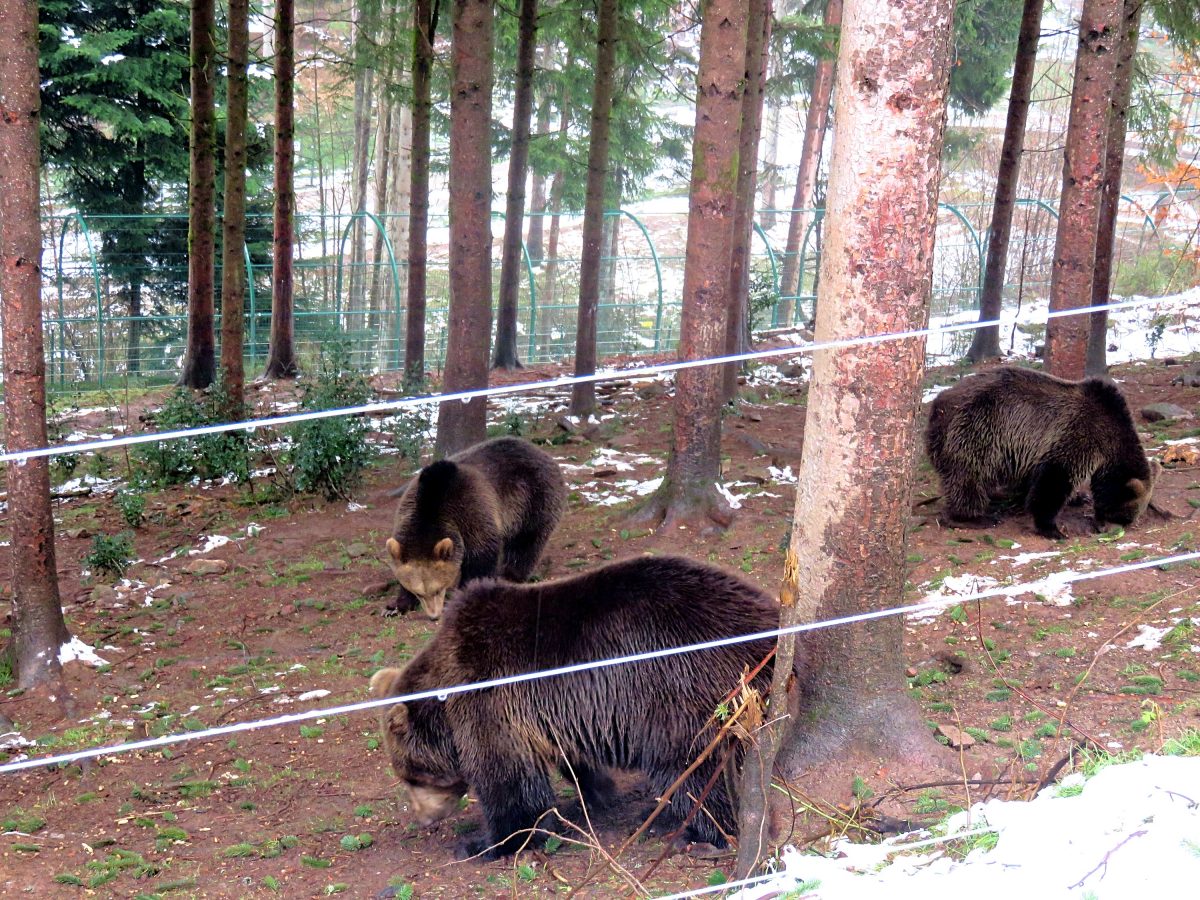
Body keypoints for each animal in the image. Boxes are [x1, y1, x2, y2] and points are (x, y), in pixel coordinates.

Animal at [369, 556, 792, 859]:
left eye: (412, 774)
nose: (424, 820)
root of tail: (766, 615)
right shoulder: (557, 713)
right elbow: (572, 760)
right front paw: (596, 791)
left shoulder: (490, 700)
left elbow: (507, 782)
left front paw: (486, 843)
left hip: (680, 688)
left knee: (690, 767)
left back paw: (695, 830)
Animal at [386, 436, 568, 619]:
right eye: (419, 592)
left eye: (438, 589)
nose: (434, 615)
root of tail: (539, 450)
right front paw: (395, 606)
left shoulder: (472, 512)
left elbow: (480, 556)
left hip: (533, 499)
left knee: (527, 541)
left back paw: (510, 574)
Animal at [921, 367, 1156, 540]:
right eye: (1121, 514)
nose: (1106, 530)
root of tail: (939, 404)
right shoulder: (1079, 436)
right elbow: (1054, 482)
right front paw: (1053, 529)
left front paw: (1078, 497)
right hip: (977, 429)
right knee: (969, 477)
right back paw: (974, 517)